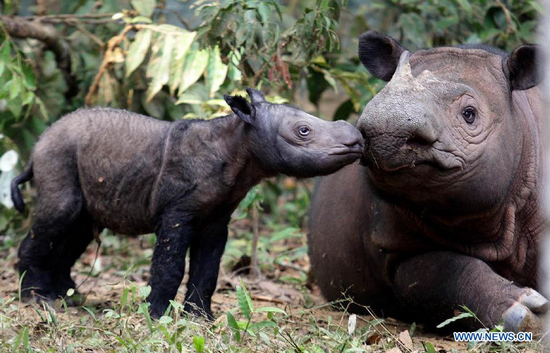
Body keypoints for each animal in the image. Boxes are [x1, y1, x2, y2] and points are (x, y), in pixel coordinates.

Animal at [11, 87, 362, 316]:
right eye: (303, 131)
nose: (356, 140)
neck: (239, 142)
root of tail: (37, 146)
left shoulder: (217, 219)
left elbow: (207, 270)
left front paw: (201, 318)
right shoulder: (177, 213)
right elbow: (170, 266)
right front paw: (157, 316)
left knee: (79, 228)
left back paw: (68, 298)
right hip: (57, 154)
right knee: (62, 213)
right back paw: (37, 300)